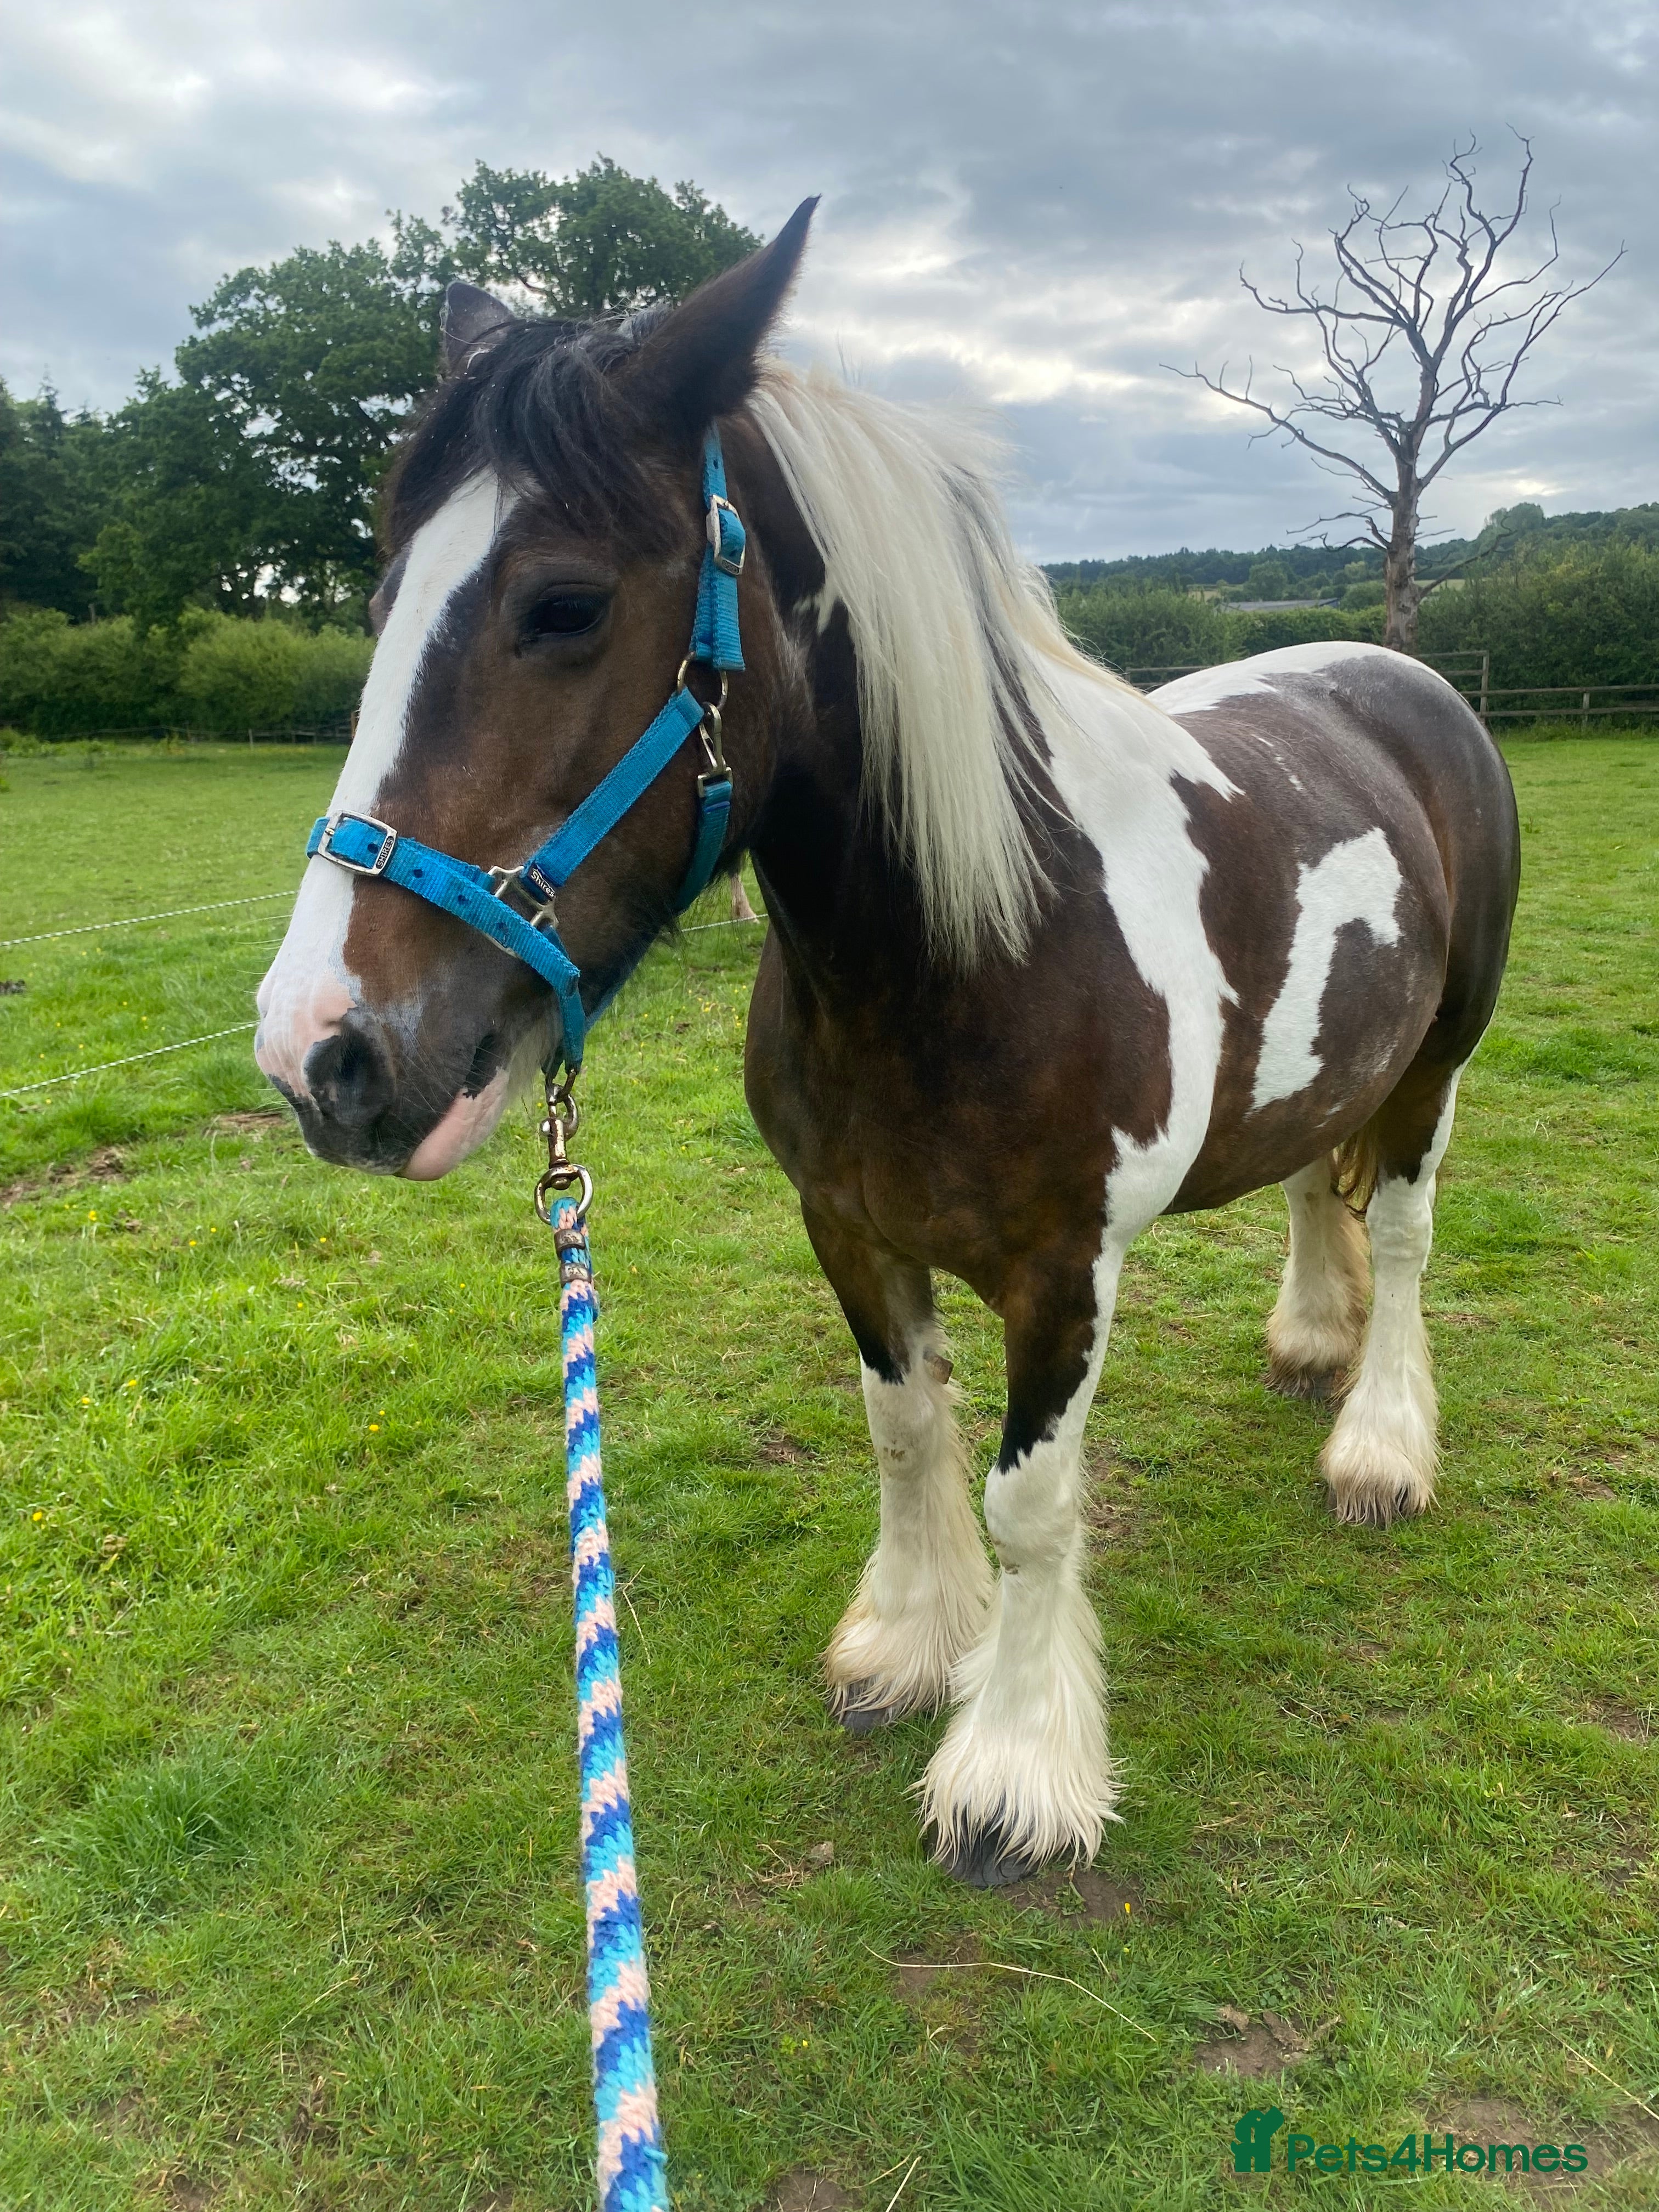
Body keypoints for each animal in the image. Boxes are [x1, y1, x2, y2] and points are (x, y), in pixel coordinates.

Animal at [255, 201, 1521, 1887]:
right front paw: (912, 1649)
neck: (976, 947)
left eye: (565, 604)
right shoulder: (848, 1229)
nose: (321, 1056)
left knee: (1410, 1233)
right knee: (1323, 1177)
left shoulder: (1065, 1272)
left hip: (1439, 1061)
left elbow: (1031, 1502)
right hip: (1337, 1060)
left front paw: (1015, 1772)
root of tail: (1402, 679)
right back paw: (1312, 1340)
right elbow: (906, 1431)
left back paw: (1377, 1444)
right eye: (381, 603)